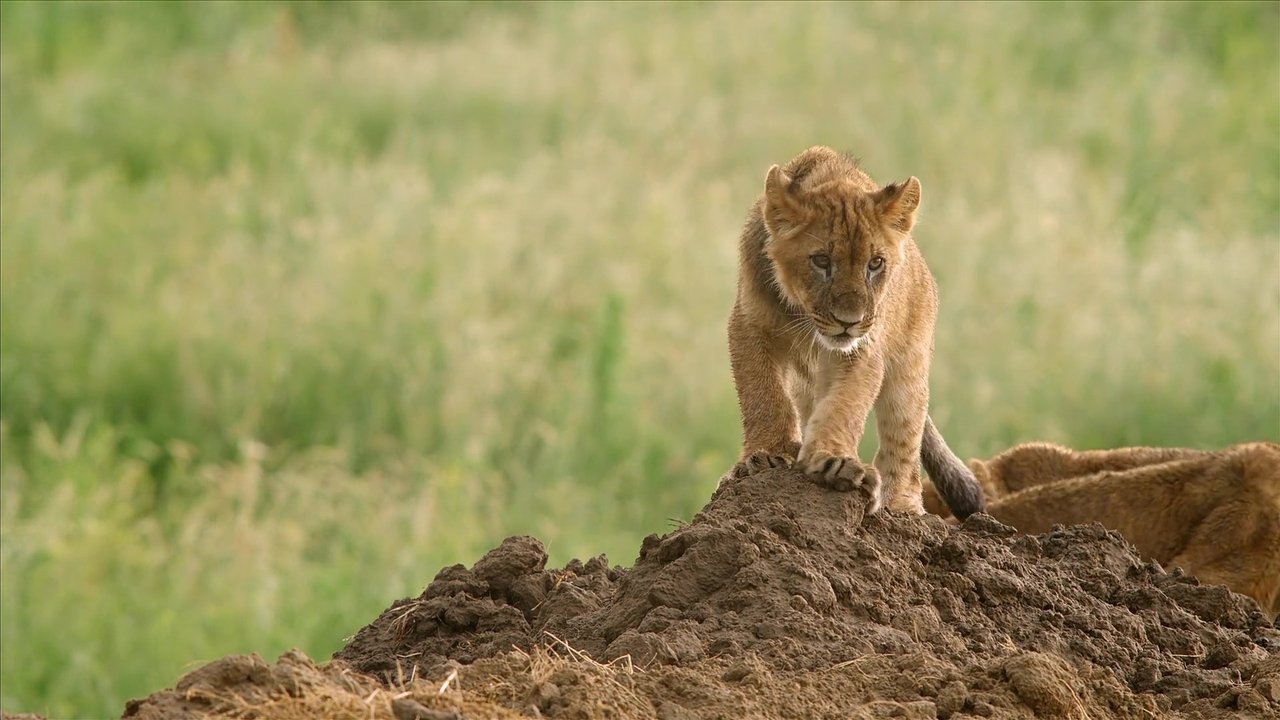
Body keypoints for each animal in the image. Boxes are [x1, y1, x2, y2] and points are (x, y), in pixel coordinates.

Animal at [727, 146, 985, 519]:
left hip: (910, 372)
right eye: (821, 261)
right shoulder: (748, 326)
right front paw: (766, 455)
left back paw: (901, 508)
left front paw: (832, 463)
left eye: (875, 264)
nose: (849, 320)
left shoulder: (861, 350)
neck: (803, 316)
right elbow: (763, 394)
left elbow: (844, 405)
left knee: (904, 446)